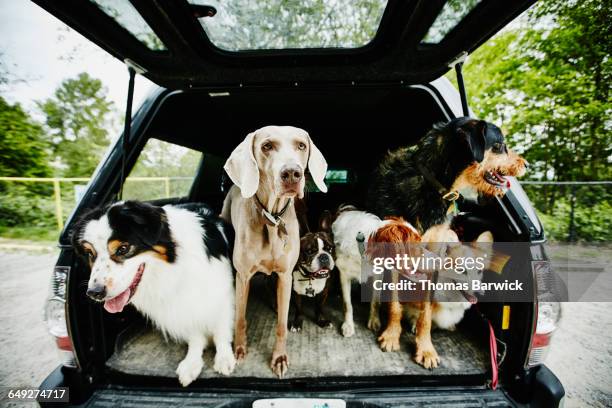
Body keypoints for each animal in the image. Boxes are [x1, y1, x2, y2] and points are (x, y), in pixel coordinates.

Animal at [70, 201, 235, 386]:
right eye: (90, 254)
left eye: (123, 249)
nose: (94, 292)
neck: (175, 264)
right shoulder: (184, 303)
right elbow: (194, 335)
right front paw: (192, 362)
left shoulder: (221, 294)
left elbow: (221, 330)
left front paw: (224, 358)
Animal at [221, 126, 328, 378]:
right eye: (267, 146)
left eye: (301, 145)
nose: (292, 174)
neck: (272, 218)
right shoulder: (243, 276)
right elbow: (240, 318)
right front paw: (239, 349)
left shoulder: (285, 276)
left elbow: (282, 323)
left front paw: (279, 358)